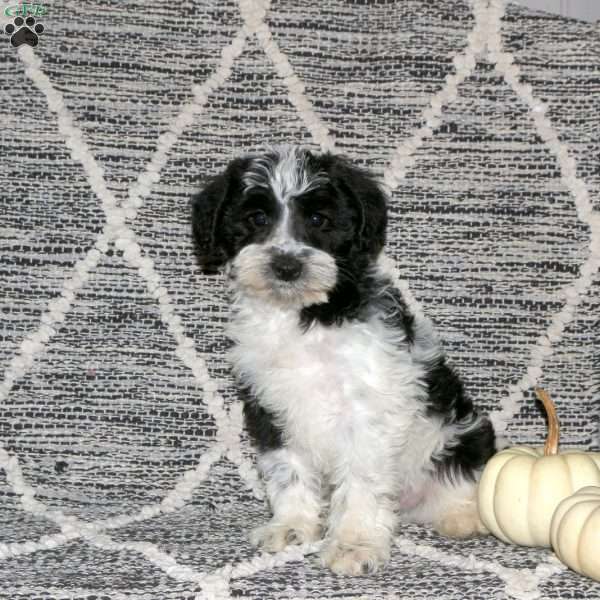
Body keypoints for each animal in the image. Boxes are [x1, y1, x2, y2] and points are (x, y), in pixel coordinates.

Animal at [191, 145, 492, 576]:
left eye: (318, 219)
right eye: (257, 219)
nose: (286, 266)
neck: (305, 316)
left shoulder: (368, 409)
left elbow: (361, 480)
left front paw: (355, 543)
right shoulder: (271, 407)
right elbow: (288, 469)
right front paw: (292, 526)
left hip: (459, 435)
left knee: (461, 473)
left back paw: (462, 516)